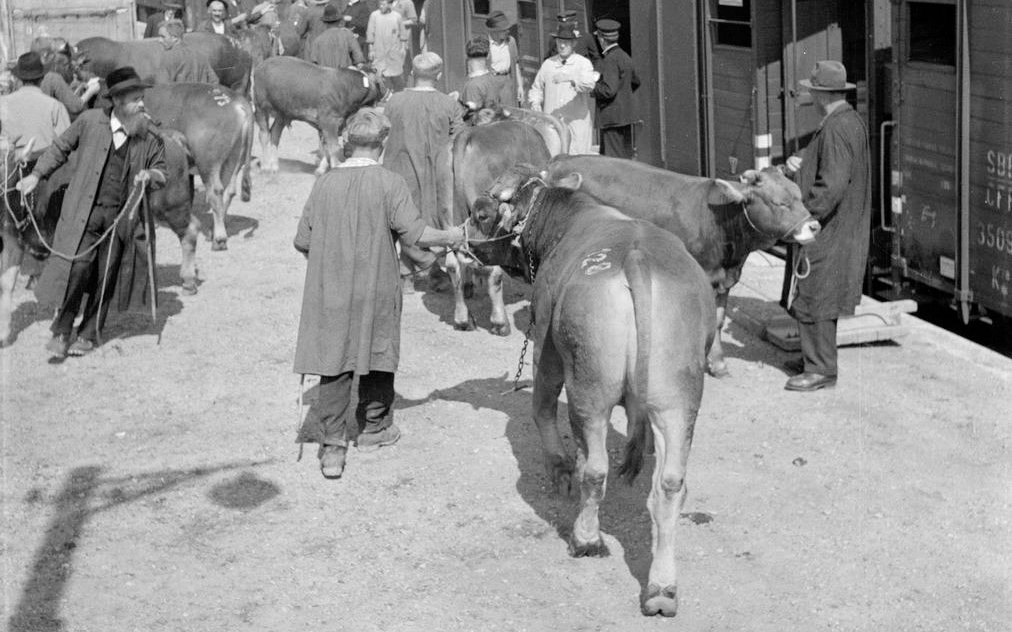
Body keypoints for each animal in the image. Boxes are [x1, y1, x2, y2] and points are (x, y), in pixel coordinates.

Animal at [463, 166, 712, 614]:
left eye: (481, 213)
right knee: (669, 485)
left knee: (595, 469)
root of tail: (635, 257)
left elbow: (542, 404)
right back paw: (662, 589)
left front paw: (559, 466)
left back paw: (586, 537)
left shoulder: (545, 336)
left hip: (589, 389)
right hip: (678, 399)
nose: (462, 245)